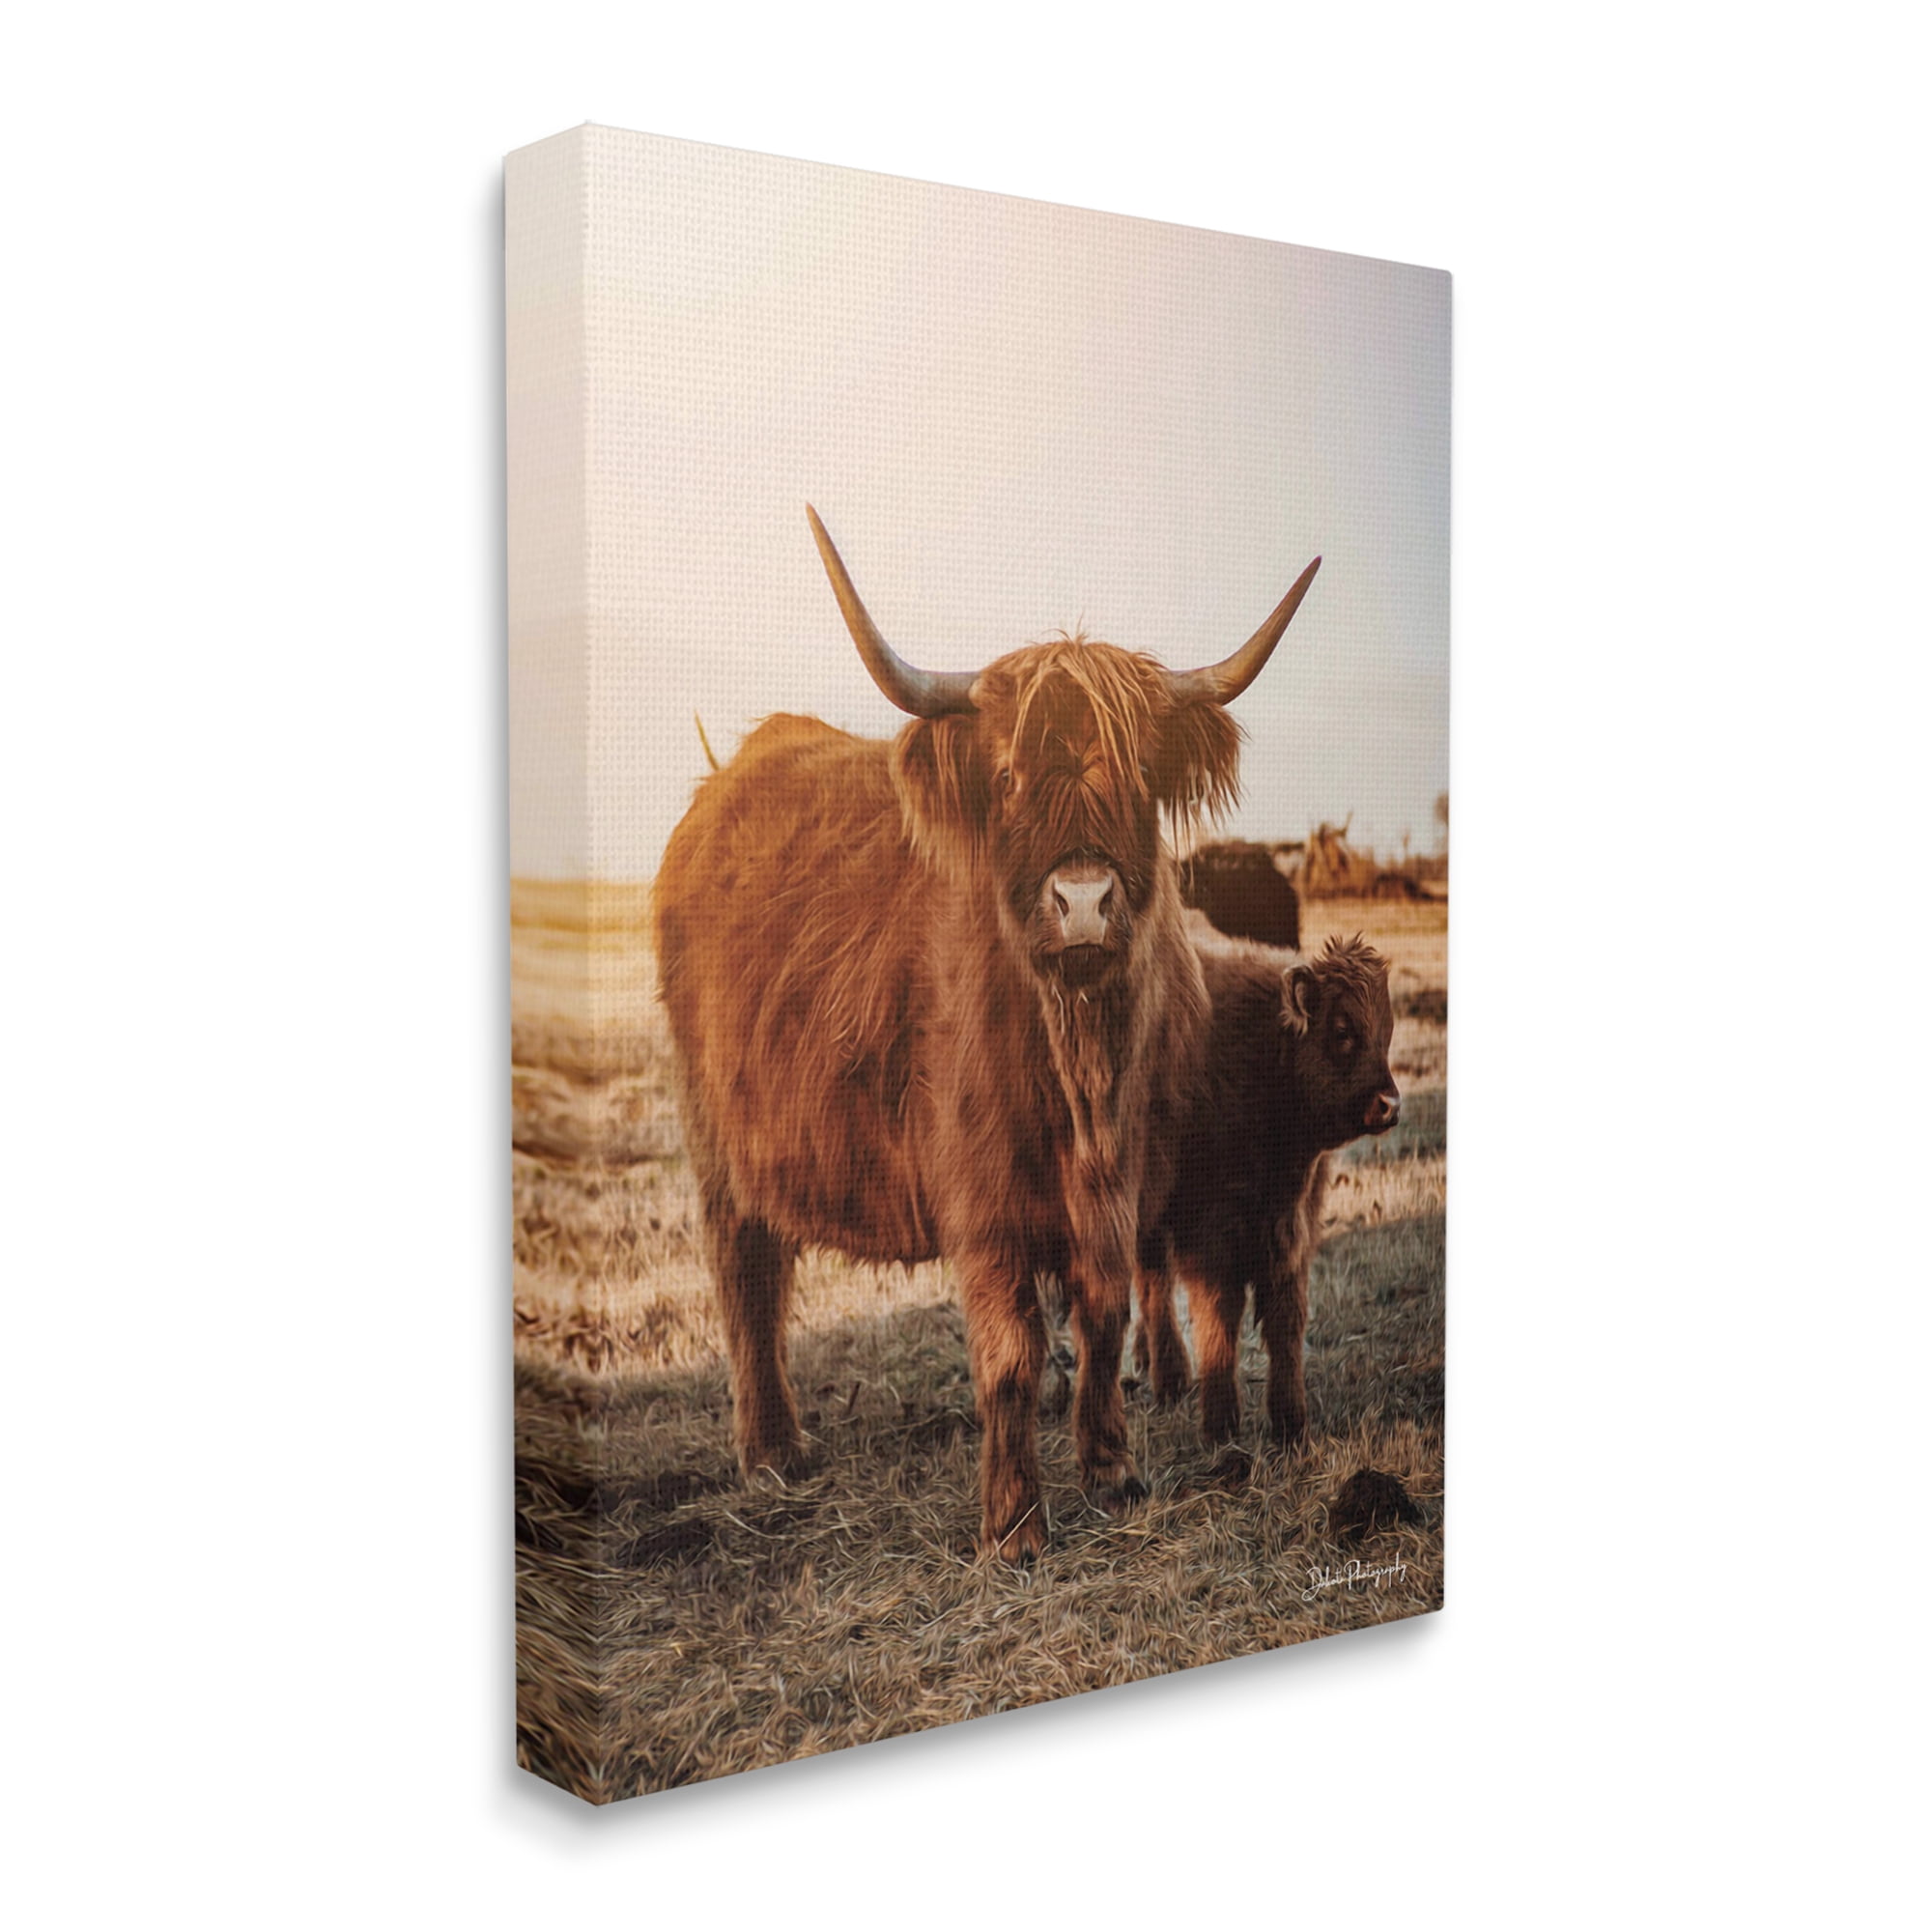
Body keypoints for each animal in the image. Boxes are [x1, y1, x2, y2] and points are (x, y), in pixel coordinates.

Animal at [653, 507, 1320, 1560]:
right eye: (1007, 776)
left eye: (1138, 777)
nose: (1082, 901)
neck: (1078, 1066)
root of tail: (724, 780)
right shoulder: (982, 1195)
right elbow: (1010, 1349)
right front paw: (1014, 1525)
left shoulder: (1124, 1185)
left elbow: (1103, 1314)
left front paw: (1111, 1470)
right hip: (719, 1139)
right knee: (745, 1273)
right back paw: (771, 1450)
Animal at [1135, 935, 1399, 1452]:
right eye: (1342, 1030)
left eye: (1388, 1031)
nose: (1389, 1104)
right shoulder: (1209, 1237)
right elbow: (1219, 1317)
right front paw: (1219, 1426)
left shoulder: (1292, 1231)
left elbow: (1286, 1320)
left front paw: (1292, 1425)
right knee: (1153, 1283)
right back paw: (1169, 1376)